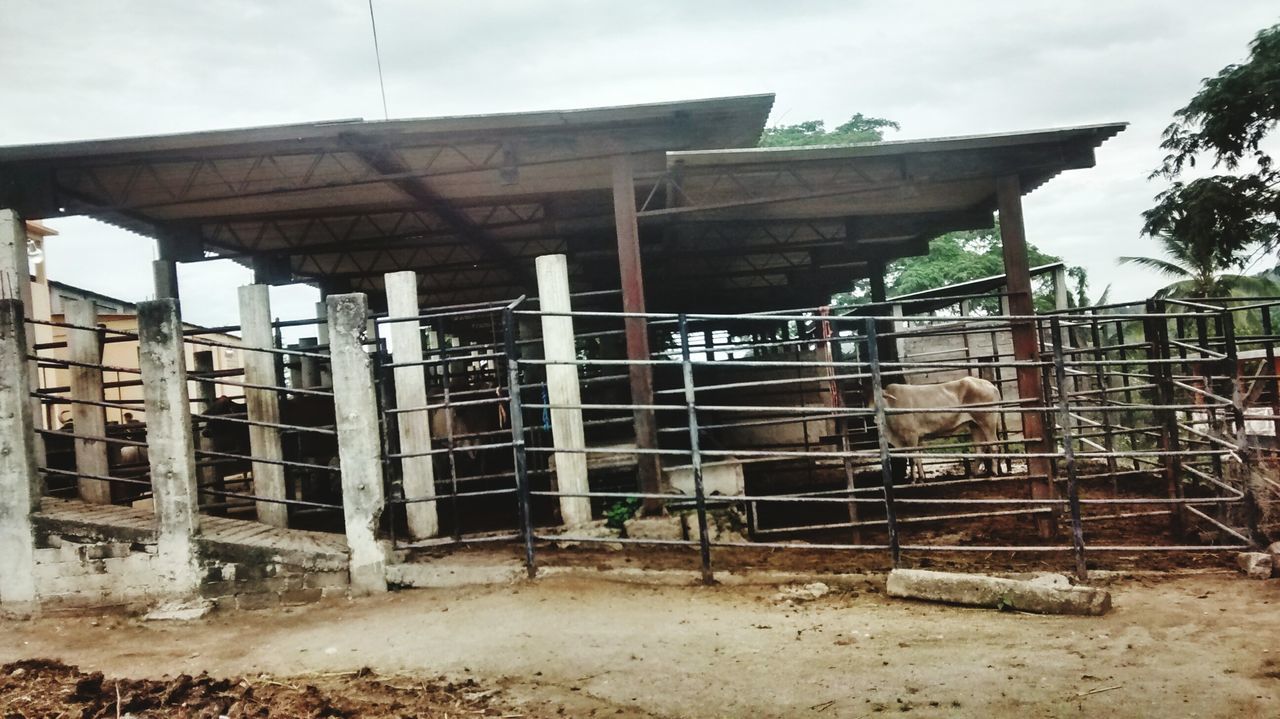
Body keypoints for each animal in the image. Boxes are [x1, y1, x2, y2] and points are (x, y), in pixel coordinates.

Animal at [875, 376, 1003, 481]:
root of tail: (991, 385)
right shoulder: (918, 439)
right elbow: (919, 458)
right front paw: (921, 478)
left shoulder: (911, 436)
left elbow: (912, 459)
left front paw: (914, 480)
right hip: (975, 425)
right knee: (980, 449)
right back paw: (973, 474)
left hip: (987, 422)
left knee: (994, 445)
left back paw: (993, 473)